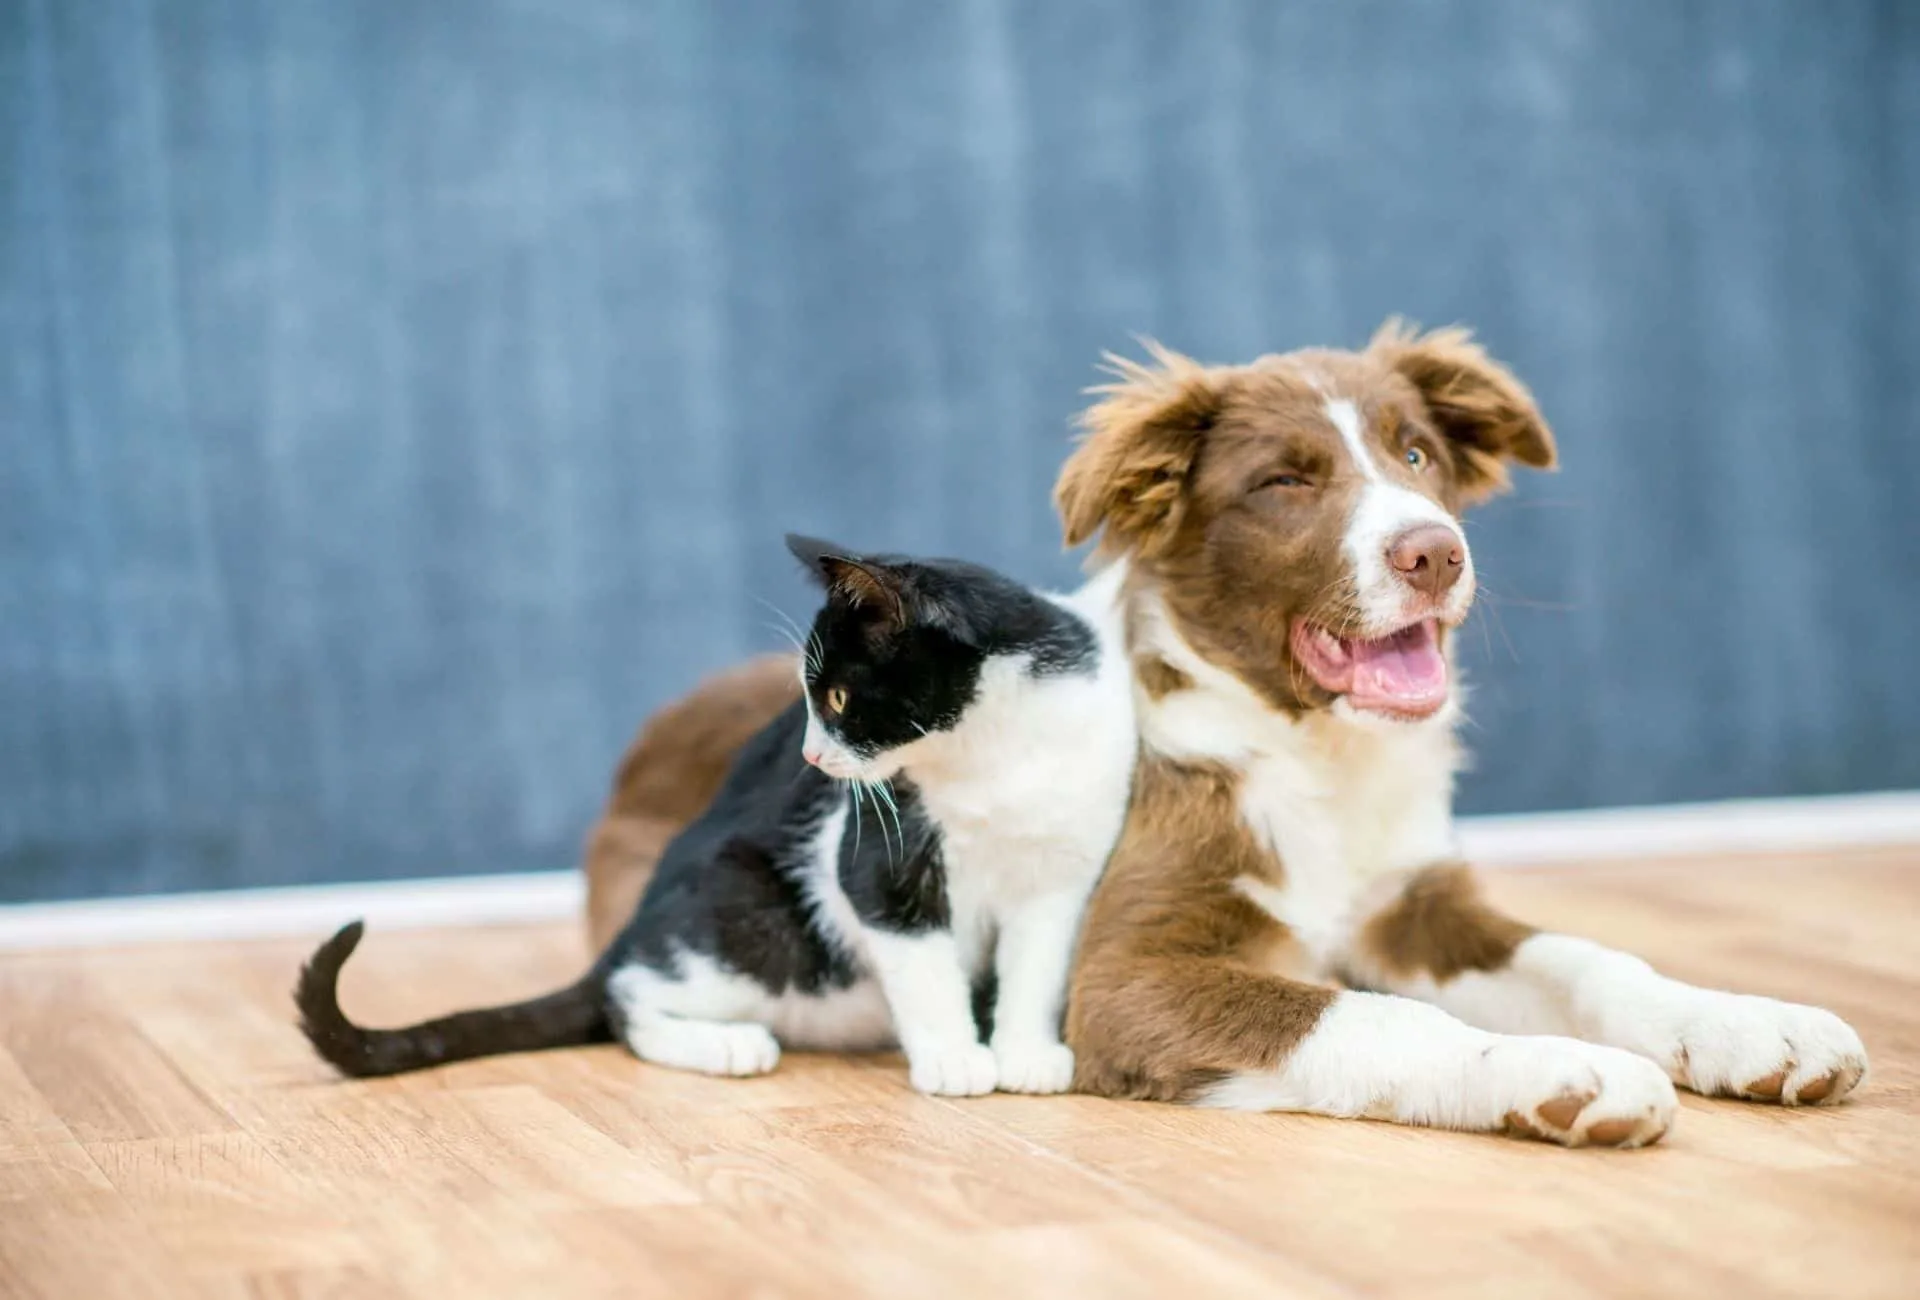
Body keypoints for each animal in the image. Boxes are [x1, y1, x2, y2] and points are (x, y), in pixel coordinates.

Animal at [297, 533, 1128, 1090]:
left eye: (837, 698)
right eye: (810, 700)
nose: (812, 760)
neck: (992, 756)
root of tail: (628, 928)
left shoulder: (1063, 873)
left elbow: (1036, 965)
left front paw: (1024, 1054)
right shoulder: (873, 853)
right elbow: (922, 962)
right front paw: (955, 1057)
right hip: (749, 919)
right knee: (629, 996)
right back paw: (724, 1045)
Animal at [1059, 324, 1866, 1144]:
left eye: (1416, 456)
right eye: (1283, 481)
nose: (1435, 553)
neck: (1321, 758)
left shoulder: (1412, 908)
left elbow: (1580, 957)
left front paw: (1741, 1021)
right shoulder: (1124, 975)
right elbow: (1377, 1019)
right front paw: (1557, 1068)